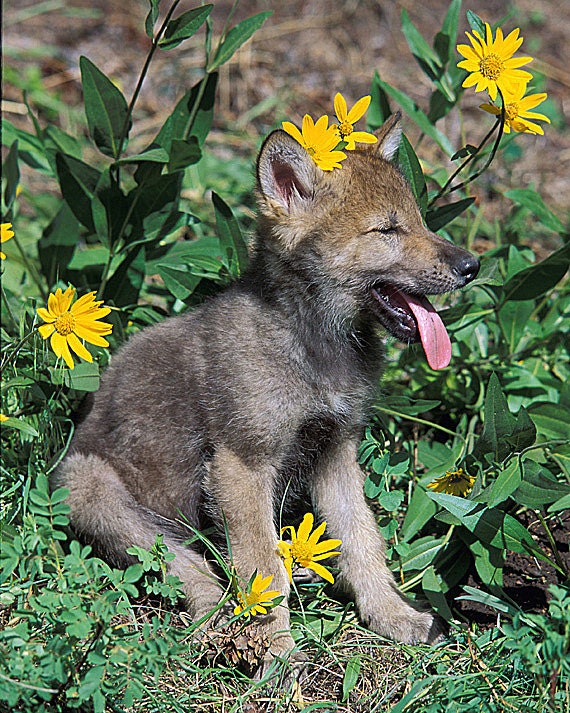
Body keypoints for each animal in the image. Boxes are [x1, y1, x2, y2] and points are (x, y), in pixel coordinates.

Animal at [55, 113, 479, 668]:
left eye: (422, 221)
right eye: (388, 230)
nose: (472, 266)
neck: (317, 346)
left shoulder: (335, 451)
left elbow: (363, 540)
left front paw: (393, 616)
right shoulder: (242, 465)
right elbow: (263, 569)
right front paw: (277, 651)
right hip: (89, 487)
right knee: (187, 566)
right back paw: (221, 626)